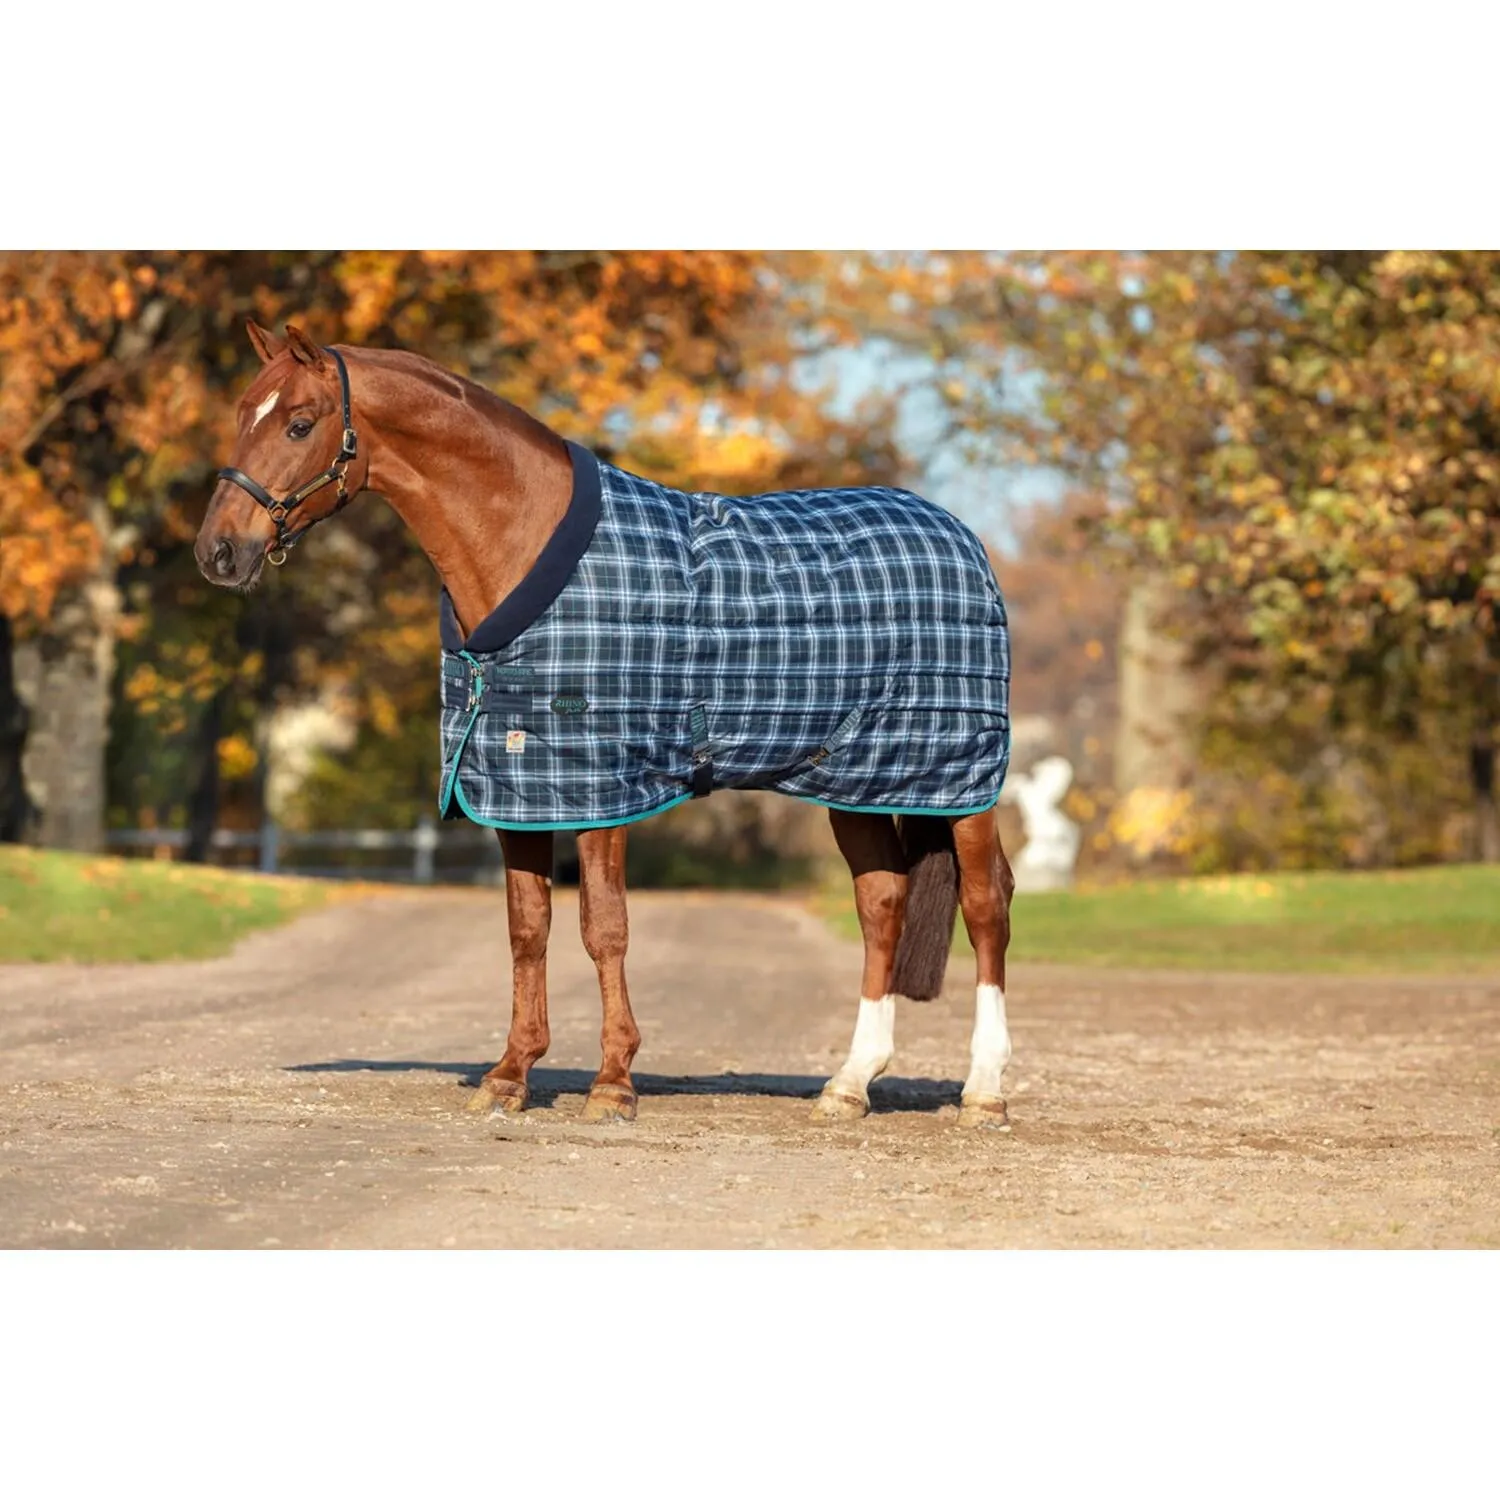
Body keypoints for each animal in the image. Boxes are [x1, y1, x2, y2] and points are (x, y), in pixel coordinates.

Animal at [195, 322, 1016, 1128]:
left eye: (300, 423)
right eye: (239, 415)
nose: (218, 552)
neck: (522, 544)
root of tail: (961, 536)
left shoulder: (602, 788)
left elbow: (604, 927)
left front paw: (614, 1082)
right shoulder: (520, 787)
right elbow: (528, 929)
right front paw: (510, 1074)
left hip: (960, 781)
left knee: (986, 905)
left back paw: (984, 1089)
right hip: (860, 781)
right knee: (882, 904)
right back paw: (849, 1085)